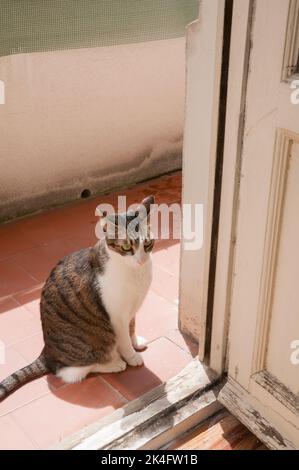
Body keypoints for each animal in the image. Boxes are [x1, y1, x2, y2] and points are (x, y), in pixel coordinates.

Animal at [0, 196, 155, 402]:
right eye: (126, 247)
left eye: (148, 244)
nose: (141, 260)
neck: (136, 273)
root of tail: (46, 353)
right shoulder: (117, 316)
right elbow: (123, 338)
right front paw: (131, 356)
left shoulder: (131, 310)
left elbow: (132, 327)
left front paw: (136, 342)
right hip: (86, 348)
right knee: (73, 371)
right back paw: (114, 363)